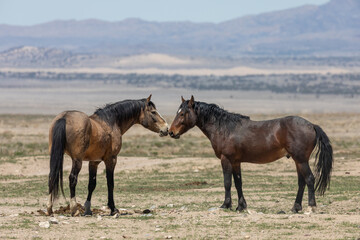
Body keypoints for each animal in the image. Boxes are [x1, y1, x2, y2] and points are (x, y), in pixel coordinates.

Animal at [170, 95, 334, 212]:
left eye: (183, 113)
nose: (171, 132)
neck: (224, 129)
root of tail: (311, 125)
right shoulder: (236, 162)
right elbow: (238, 183)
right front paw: (241, 206)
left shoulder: (226, 159)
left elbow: (227, 182)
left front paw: (226, 205)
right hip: (297, 160)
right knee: (302, 182)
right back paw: (295, 207)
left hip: (301, 160)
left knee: (310, 179)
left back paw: (311, 206)